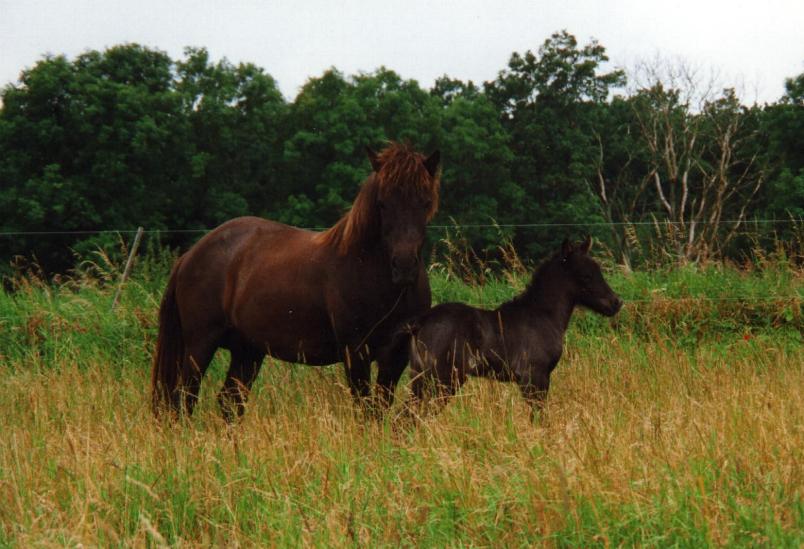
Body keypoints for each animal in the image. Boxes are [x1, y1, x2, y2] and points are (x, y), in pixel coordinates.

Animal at [151, 142, 440, 420]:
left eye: (425, 203)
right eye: (382, 203)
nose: (404, 266)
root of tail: (190, 254)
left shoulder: (396, 356)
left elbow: (380, 408)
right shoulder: (356, 353)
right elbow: (366, 410)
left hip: (247, 350)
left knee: (230, 402)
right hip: (200, 345)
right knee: (184, 400)